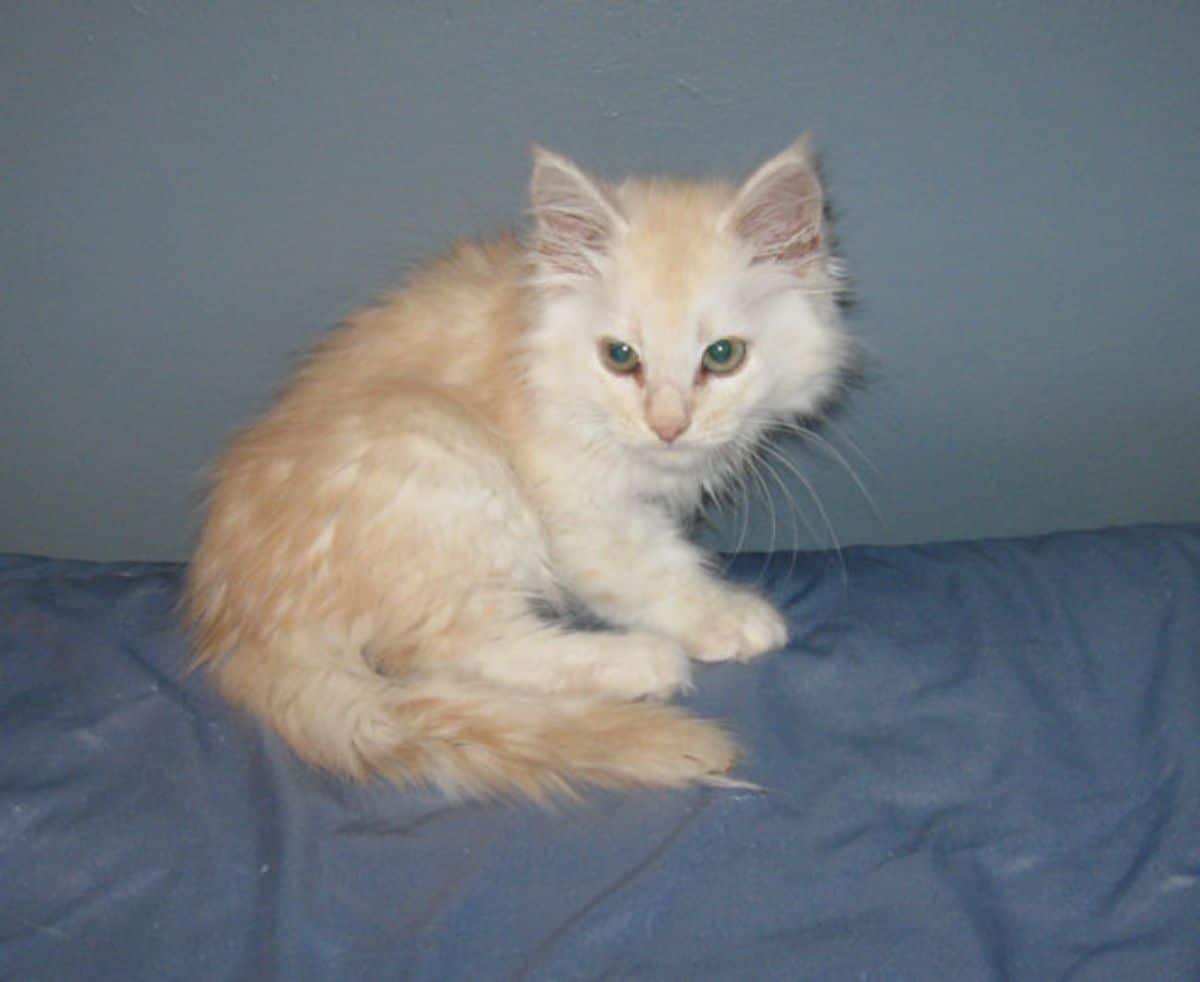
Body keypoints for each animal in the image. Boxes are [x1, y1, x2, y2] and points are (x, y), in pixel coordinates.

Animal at [182, 135, 849, 797]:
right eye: (620, 356)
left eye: (723, 355)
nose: (668, 427)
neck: (533, 351)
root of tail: (242, 624)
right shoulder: (575, 503)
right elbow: (649, 571)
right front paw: (725, 616)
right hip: (440, 448)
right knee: (450, 650)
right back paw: (639, 661)